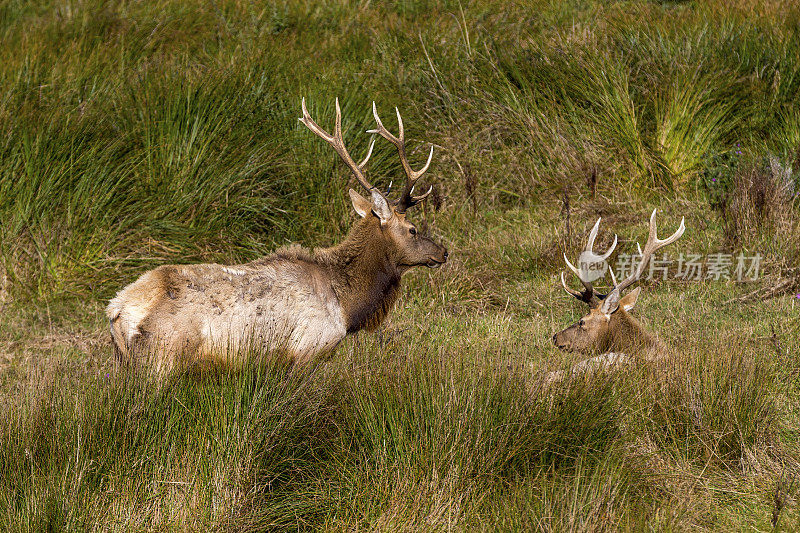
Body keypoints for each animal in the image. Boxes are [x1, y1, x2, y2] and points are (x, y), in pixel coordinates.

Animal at [104, 98, 450, 374]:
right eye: (413, 229)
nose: (443, 252)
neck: (347, 306)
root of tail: (117, 309)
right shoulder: (307, 349)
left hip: (125, 363)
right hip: (162, 358)